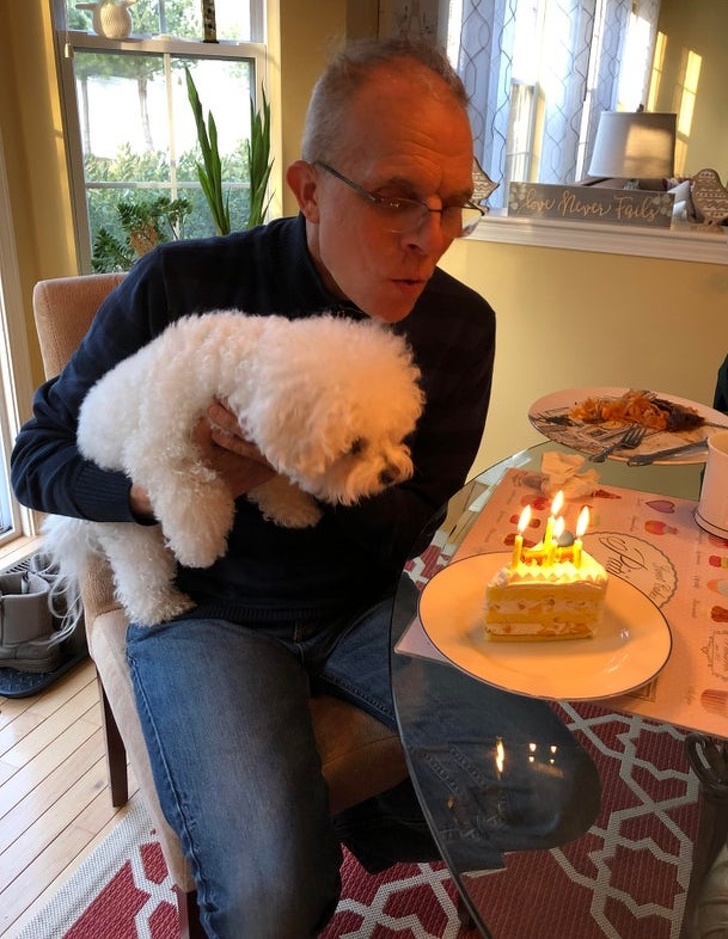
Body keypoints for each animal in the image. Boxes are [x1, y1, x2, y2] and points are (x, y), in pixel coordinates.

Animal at [42, 311, 424, 626]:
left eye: (393, 434)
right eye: (355, 445)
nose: (392, 474)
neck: (229, 365)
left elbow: (274, 483)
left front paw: (294, 510)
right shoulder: (161, 452)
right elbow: (192, 496)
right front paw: (199, 548)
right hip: (127, 529)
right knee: (141, 573)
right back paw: (160, 608)